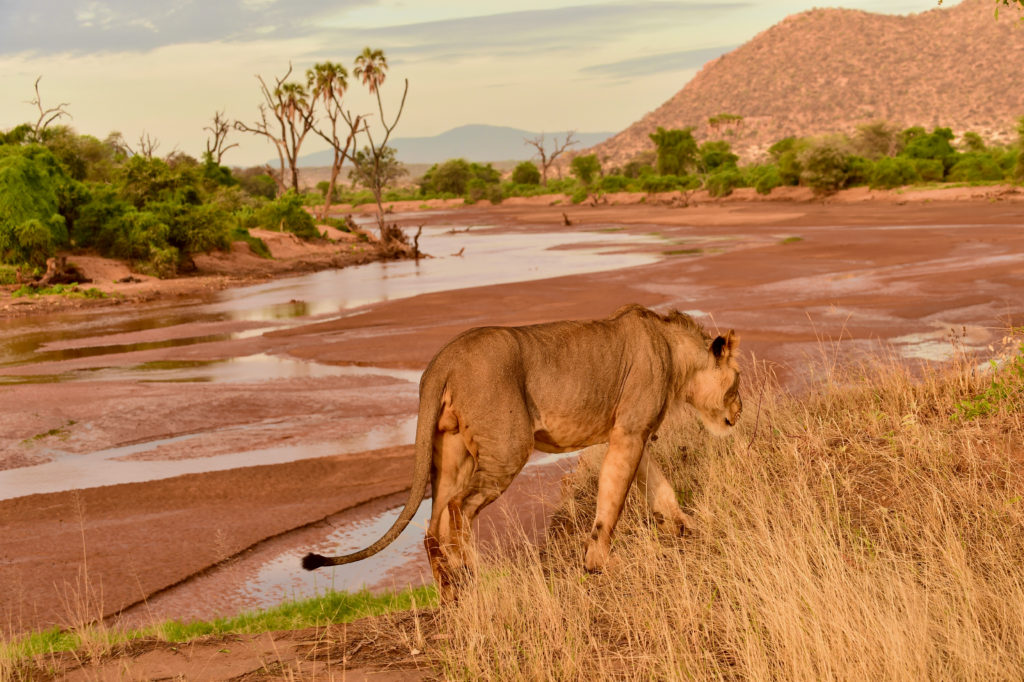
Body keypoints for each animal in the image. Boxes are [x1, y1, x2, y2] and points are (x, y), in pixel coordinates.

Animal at [303, 304, 742, 595]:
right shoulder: (630, 431)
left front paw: (685, 528)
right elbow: (612, 502)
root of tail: (444, 358)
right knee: (459, 508)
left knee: (433, 525)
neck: (673, 351)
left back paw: (451, 593)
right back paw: (471, 576)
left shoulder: (632, 432)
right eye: (737, 380)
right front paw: (599, 564)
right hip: (508, 447)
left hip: (451, 452)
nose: (739, 411)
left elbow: (659, 487)